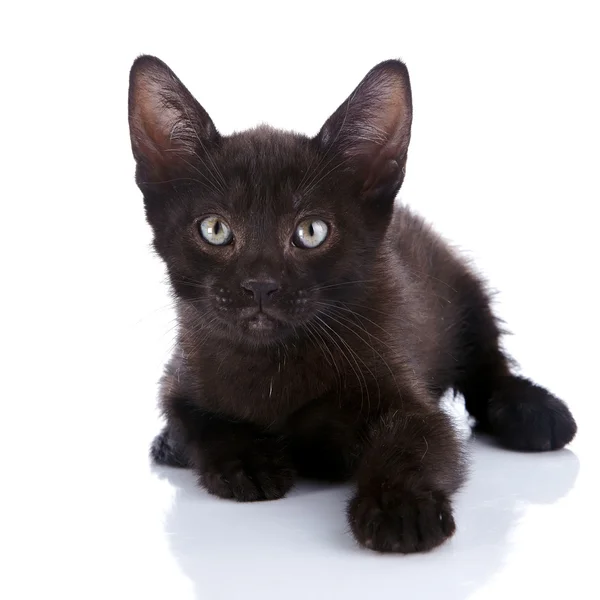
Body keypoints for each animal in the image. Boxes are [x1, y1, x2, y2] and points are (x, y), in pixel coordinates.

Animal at [130, 56, 576, 552]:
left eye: (311, 231)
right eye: (214, 229)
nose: (260, 285)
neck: (273, 363)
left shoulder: (409, 395)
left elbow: (413, 443)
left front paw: (400, 508)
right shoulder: (181, 375)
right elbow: (196, 418)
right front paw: (248, 459)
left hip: (461, 291)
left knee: (487, 365)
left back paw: (532, 410)